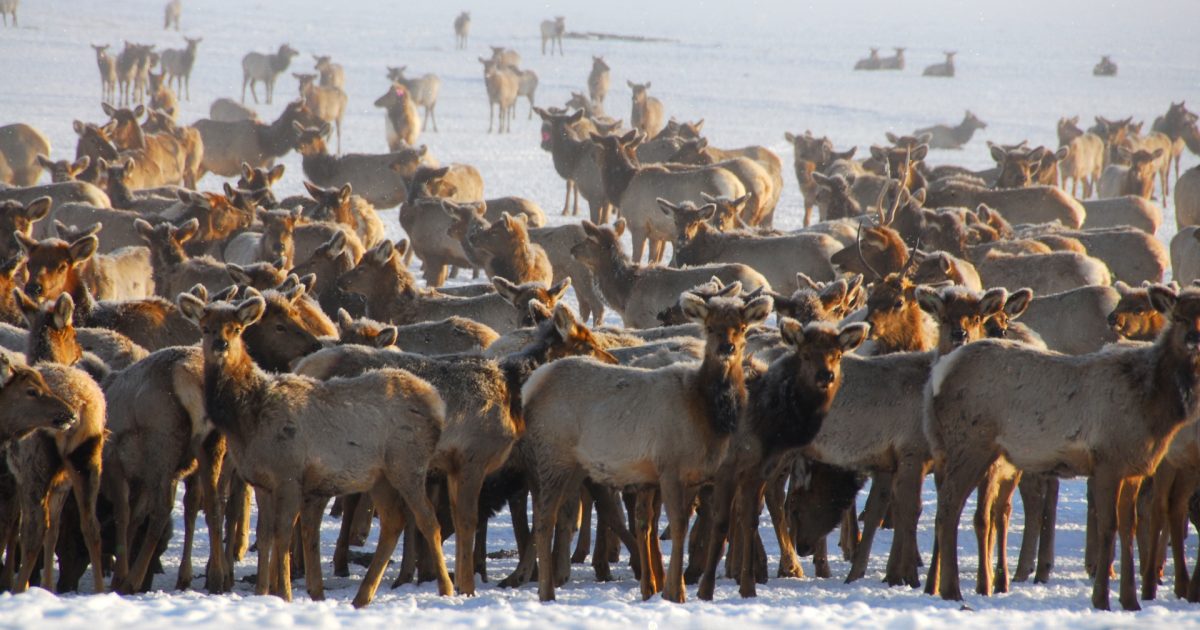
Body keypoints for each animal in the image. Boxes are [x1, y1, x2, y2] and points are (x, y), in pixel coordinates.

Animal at [921, 284, 1200, 609]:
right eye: (1178, 317)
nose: (1193, 338)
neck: (1156, 405)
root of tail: (940, 373)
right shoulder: (1107, 460)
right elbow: (1109, 527)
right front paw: (1101, 599)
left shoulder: (1134, 467)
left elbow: (1128, 528)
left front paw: (1131, 601)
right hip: (970, 443)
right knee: (949, 508)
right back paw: (953, 589)